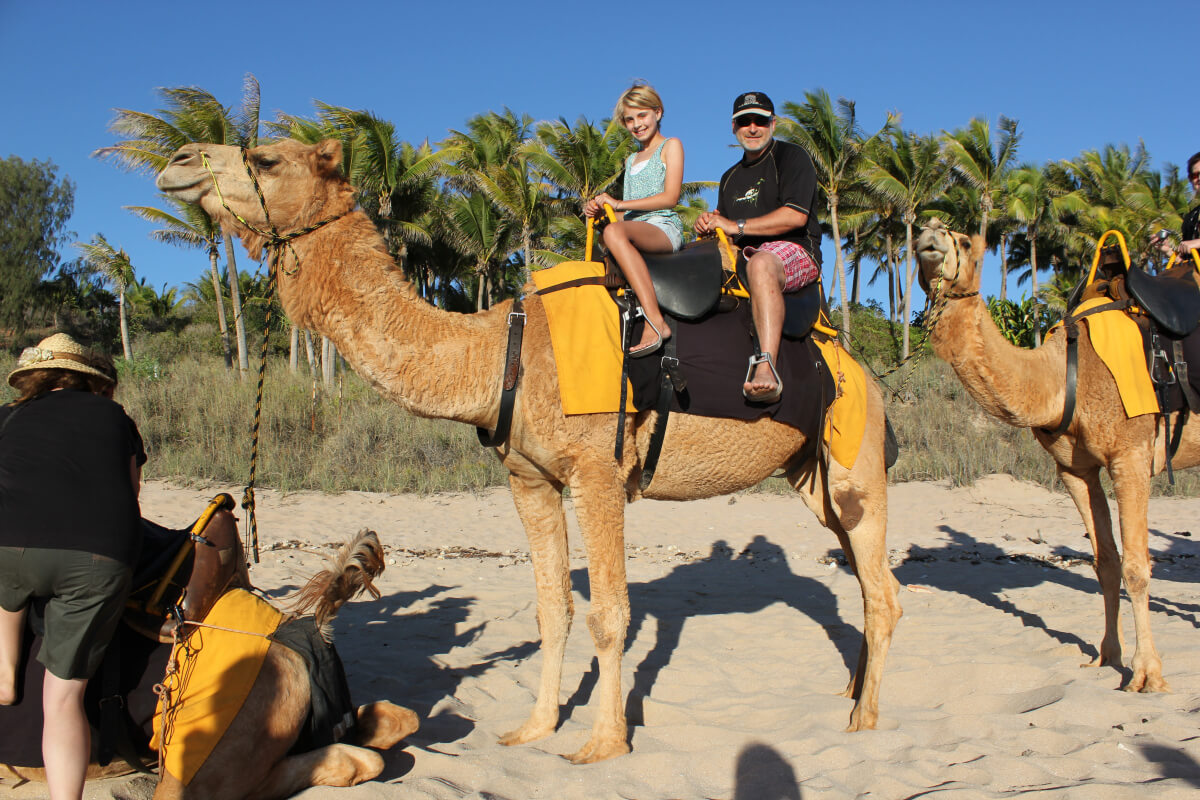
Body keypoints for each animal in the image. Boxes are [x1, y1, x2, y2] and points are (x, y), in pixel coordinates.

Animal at [152, 137, 902, 762]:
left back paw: (864, 721)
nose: (180, 160)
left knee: (881, 587)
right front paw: (535, 728)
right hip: (809, 472)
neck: (498, 353)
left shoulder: (599, 471)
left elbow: (609, 615)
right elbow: (552, 609)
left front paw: (602, 744)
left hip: (855, 456)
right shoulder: (529, 478)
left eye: (266, 157)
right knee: (864, 579)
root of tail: (859, 367)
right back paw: (852, 692)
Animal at [912, 219, 1195, 695]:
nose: (929, 235)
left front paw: (1146, 675)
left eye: (965, 241)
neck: (1063, 375)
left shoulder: (1131, 454)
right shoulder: (1075, 469)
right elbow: (1105, 561)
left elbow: (1137, 566)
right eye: (914, 236)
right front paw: (1106, 657)